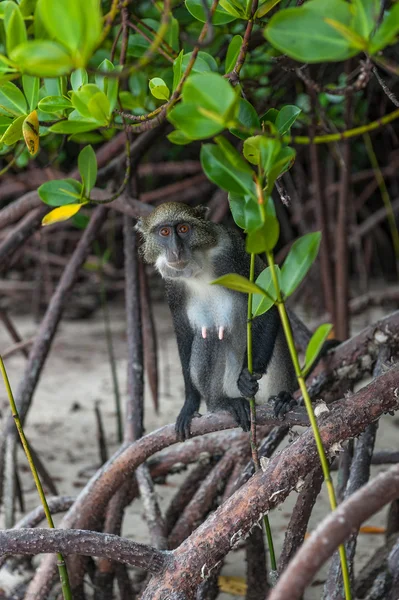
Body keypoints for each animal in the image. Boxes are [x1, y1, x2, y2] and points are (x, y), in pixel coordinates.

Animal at [136, 202, 298, 440]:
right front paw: (189, 404)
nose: (176, 250)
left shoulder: (233, 253)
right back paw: (223, 403)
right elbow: (185, 334)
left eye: (183, 229)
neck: (198, 267)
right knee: (211, 333)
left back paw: (283, 398)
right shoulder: (172, 287)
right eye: (164, 232)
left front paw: (248, 377)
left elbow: (268, 308)